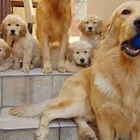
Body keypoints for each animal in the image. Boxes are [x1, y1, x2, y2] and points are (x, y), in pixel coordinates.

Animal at [9, 1, 140, 140]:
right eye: (125, 12)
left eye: (94, 23)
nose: (82, 59)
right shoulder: (106, 122)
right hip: (78, 103)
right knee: (49, 112)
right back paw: (44, 132)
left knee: (77, 117)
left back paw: (87, 131)